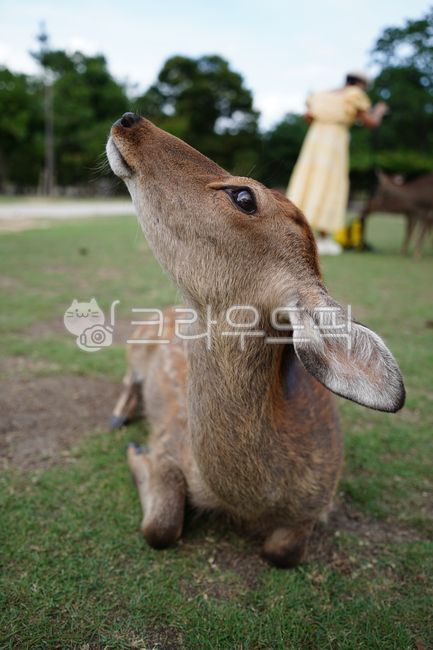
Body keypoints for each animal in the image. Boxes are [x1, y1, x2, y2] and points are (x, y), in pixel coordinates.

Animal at [106, 112, 405, 568]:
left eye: (244, 196)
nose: (130, 118)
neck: (251, 499)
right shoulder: (173, 438)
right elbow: (160, 526)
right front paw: (138, 453)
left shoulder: (319, 501)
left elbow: (282, 551)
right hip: (136, 348)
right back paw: (119, 418)